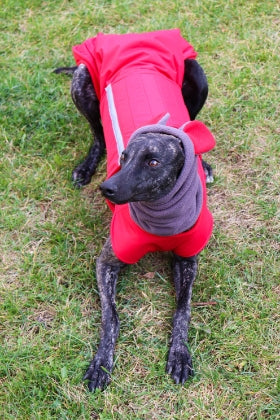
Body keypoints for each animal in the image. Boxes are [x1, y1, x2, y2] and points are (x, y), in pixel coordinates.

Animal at [55, 28, 217, 390]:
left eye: (153, 161)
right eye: (125, 156)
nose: (107, 188)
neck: (161, 214)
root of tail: (133, 37)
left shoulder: (188, 258)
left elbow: (183, 309)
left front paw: (179, 354)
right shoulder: (107, 261)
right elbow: (111, 315)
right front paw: (101, 362)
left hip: (197, 73)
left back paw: (205, 163)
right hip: (82, 80)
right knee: (97, 133)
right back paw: (86, 166)